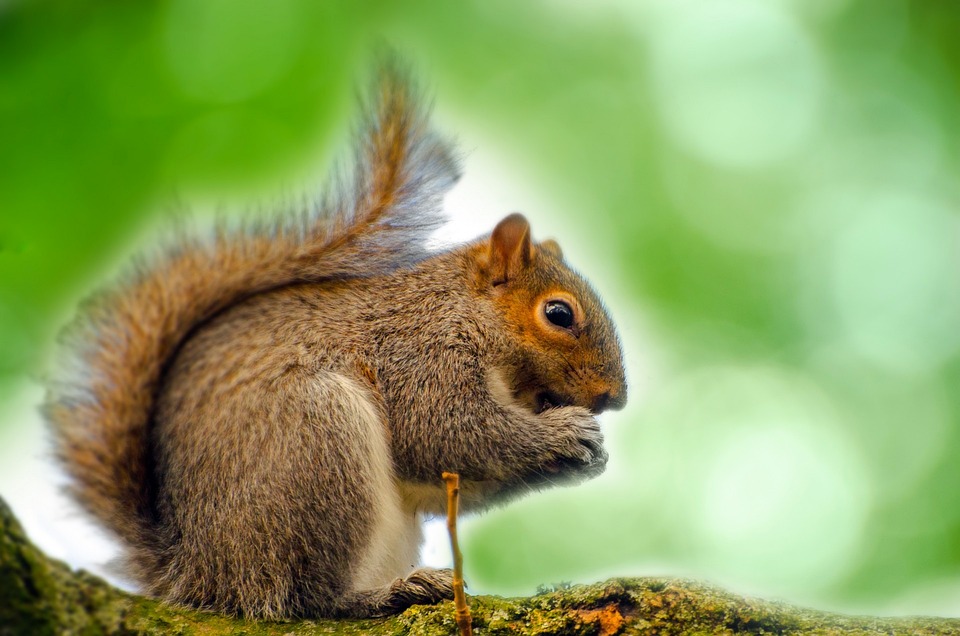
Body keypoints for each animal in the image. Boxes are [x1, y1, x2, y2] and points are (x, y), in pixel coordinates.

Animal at [44, 60, 627, 620]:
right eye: (558, 313)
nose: (613, 399)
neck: (465, 314)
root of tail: (198, 573)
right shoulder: (420, 355)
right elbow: (449, 433)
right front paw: (567, 434)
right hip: (316, 445)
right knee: (305, 597)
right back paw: (385, 595)